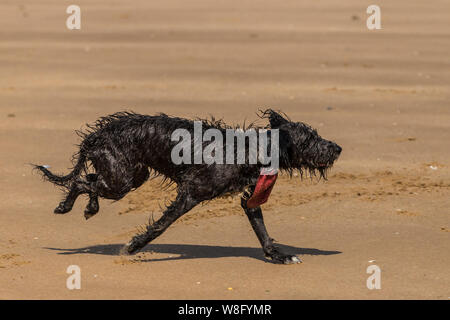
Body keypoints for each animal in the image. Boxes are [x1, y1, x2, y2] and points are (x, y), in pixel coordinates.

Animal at [34, 109, 342, 264]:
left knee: (89, 179)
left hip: (131, 175)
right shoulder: (190, 193)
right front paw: (134, 246)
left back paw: (88, 207)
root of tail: (96, 135)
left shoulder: (249, 199)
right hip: (122, 179)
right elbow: (160, 226)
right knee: (80, 181)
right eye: (310, 139)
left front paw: (279, 255)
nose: (337, 148)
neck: (249, 150)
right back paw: (67, 206)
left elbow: (263, 233)